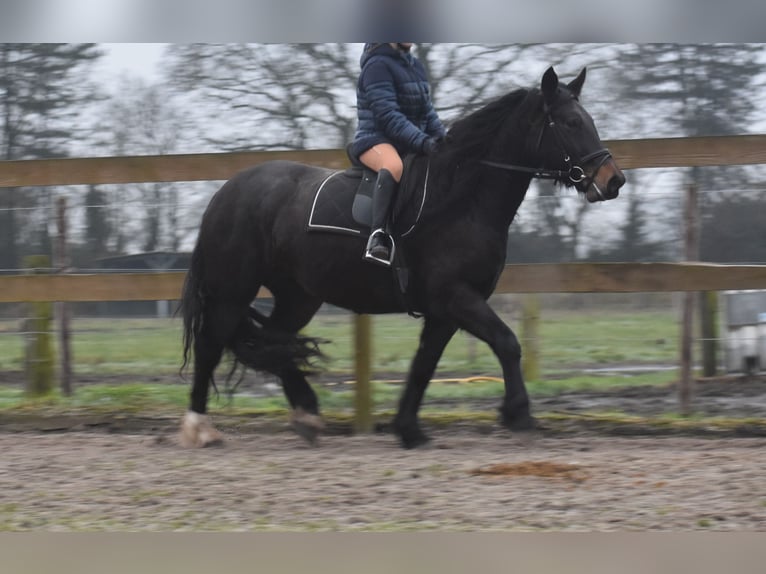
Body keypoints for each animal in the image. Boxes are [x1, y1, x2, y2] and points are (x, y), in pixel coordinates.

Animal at [182, 66, 632, 450]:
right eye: (571, 123)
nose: (613, 181)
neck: (462, 199)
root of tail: (226, 191)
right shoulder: (456, 297)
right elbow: (507, 343)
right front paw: (518, 414)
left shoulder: (444, 310)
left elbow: (424, 365)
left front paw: (409, 429)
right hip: (232, 291)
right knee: (212, 344)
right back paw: (200, 427)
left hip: (298, 296)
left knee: (269, 343)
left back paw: (307, 414)